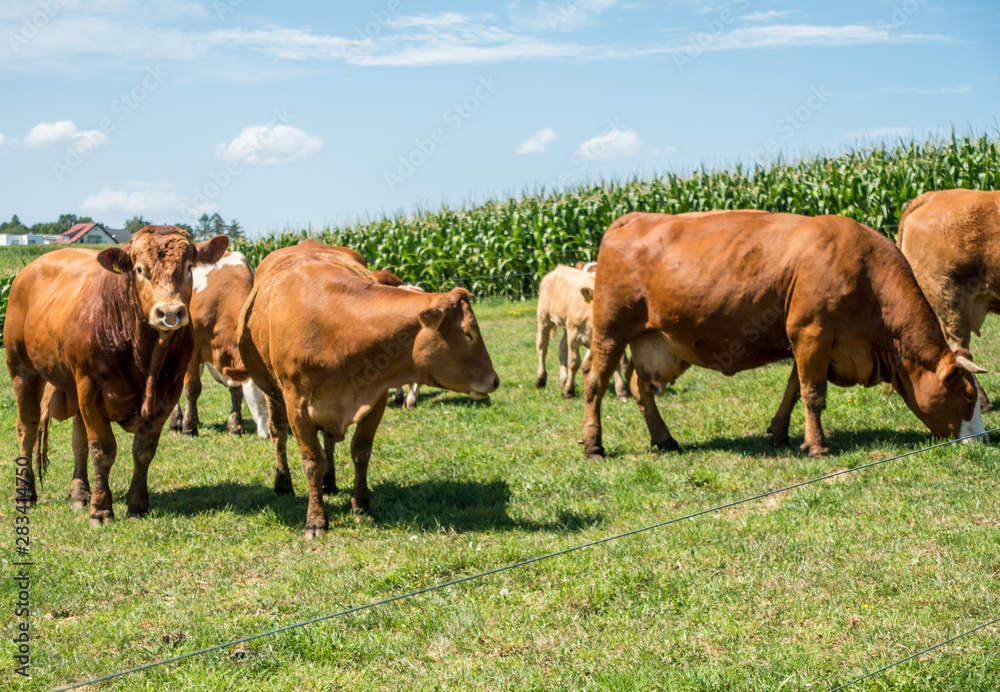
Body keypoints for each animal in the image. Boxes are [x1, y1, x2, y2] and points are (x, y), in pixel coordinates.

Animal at [6, 227, 229, 524]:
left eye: (189, 267)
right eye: (139, 269)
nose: (170, 312)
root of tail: (28, 270)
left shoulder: (169, 391)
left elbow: (143, 450)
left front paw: (137, 504)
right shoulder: (91, 388)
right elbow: (102, 449)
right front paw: (101, 510)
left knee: (78, 438)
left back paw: (80, 493)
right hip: (22, 369)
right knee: (27, 428)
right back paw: (26, 494)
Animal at [168, 250, 270, 438]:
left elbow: (236, 391)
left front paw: (236, 425)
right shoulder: (193, 352)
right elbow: (192, 389)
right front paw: (188, 428)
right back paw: (176, 422)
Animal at [235, 241, 500, 536]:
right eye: (468, 333)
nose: (494, 380)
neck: (337, 327)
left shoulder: (376, 398)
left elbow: (360, 452)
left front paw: (361, 506)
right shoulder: (297, 404)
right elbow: (312, 460)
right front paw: (315, 519)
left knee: (328, 440)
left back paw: (329, 482)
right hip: (273, 394)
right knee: (278, 434)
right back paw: (283, 482)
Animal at [584, 211, 988, 460]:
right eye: (969, 397)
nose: (984, 439)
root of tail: (631, 218)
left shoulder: (810, 341)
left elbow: (794, 390)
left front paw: (780, 435)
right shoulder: (812, 333)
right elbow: (812, 395)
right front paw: (817, 446)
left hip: (650, 339)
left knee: (641, 387)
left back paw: (665, 439)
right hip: (610, 329)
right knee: (594, 383)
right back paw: (594, 447)